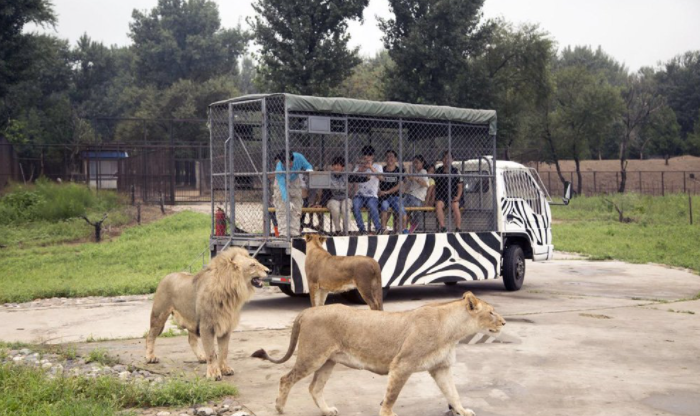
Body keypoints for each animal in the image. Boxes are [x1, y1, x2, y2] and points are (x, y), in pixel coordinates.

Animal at [146, 247, 270, 380]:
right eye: (253, 265)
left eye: (256, 262)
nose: (269, 270)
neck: (231, 293)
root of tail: (166, 276)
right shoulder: (206, 326)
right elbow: (211, 352)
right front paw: (214, 373)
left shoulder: (226, 327)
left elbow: (224, 351)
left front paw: (224, 369)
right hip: (159, 315)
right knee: (150, 336)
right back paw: (150, 357)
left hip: (191, 319)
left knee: (191, 340)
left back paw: (201, 357)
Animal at [254, 292, 506, 416]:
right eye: (492, 312)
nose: (504, 322)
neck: (453, 331)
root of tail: (307, 311)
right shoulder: (402, 365)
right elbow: (392, 396)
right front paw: (387, 413)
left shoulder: (440, 368)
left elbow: (453, 394)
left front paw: (463, 411)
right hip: (312, 356)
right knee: (286, 379)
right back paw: (279, 408)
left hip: (328, 361)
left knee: (314, 388)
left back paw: (327, 411)